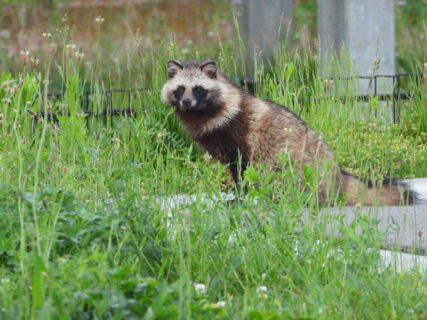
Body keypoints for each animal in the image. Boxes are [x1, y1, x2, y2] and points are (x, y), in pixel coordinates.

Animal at [160, 59, 414, 205]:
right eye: (181, 88)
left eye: (198, 89)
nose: (186, 102)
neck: (202, 114)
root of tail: (338, 179)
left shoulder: (240, 138)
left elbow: (242, 169)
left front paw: (242, 195)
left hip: (295, 167)